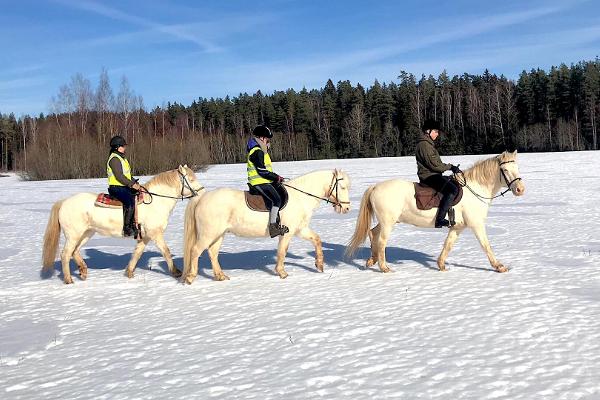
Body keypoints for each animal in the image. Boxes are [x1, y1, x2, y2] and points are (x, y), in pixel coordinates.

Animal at [42, 164, 205, 282]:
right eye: (190, 179)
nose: (202, 192)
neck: (156, 201)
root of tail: (64, 202)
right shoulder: (155, 233)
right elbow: (166, 251)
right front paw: (176, 272)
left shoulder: (145, 237)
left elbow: (137, 253)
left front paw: (129, 272)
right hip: (73, 235)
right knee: (65, 254)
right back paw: (69, 279)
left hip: (86, 233)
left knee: (74, 251)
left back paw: (83, 271)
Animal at [183, 170, 352, 284]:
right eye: (342, 187)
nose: (346, 209)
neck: (300, 197)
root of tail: (202, 198)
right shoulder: (287, 233)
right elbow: (282, 251)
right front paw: (282, 272)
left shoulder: (300, 230)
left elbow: (317, 240)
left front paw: (319, 265)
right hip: (208, 234)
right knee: (195, 250)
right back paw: (191, 277)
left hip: (219, 234)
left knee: (212, 253)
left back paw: (220, 276)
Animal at [346, 152, 524, 274]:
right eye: (505, 169)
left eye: (517, 168)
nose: (520, 190)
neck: (475, 188)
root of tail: (375, 186)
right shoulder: (477, 224)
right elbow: (486, 245)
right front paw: (499, 266)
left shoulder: (457, 227)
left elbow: (448, 245)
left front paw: (441, 265)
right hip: (388, 223)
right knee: (382, 241)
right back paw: (384, 267)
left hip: (387, 221)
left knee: (372, 233)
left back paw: (372, 260)